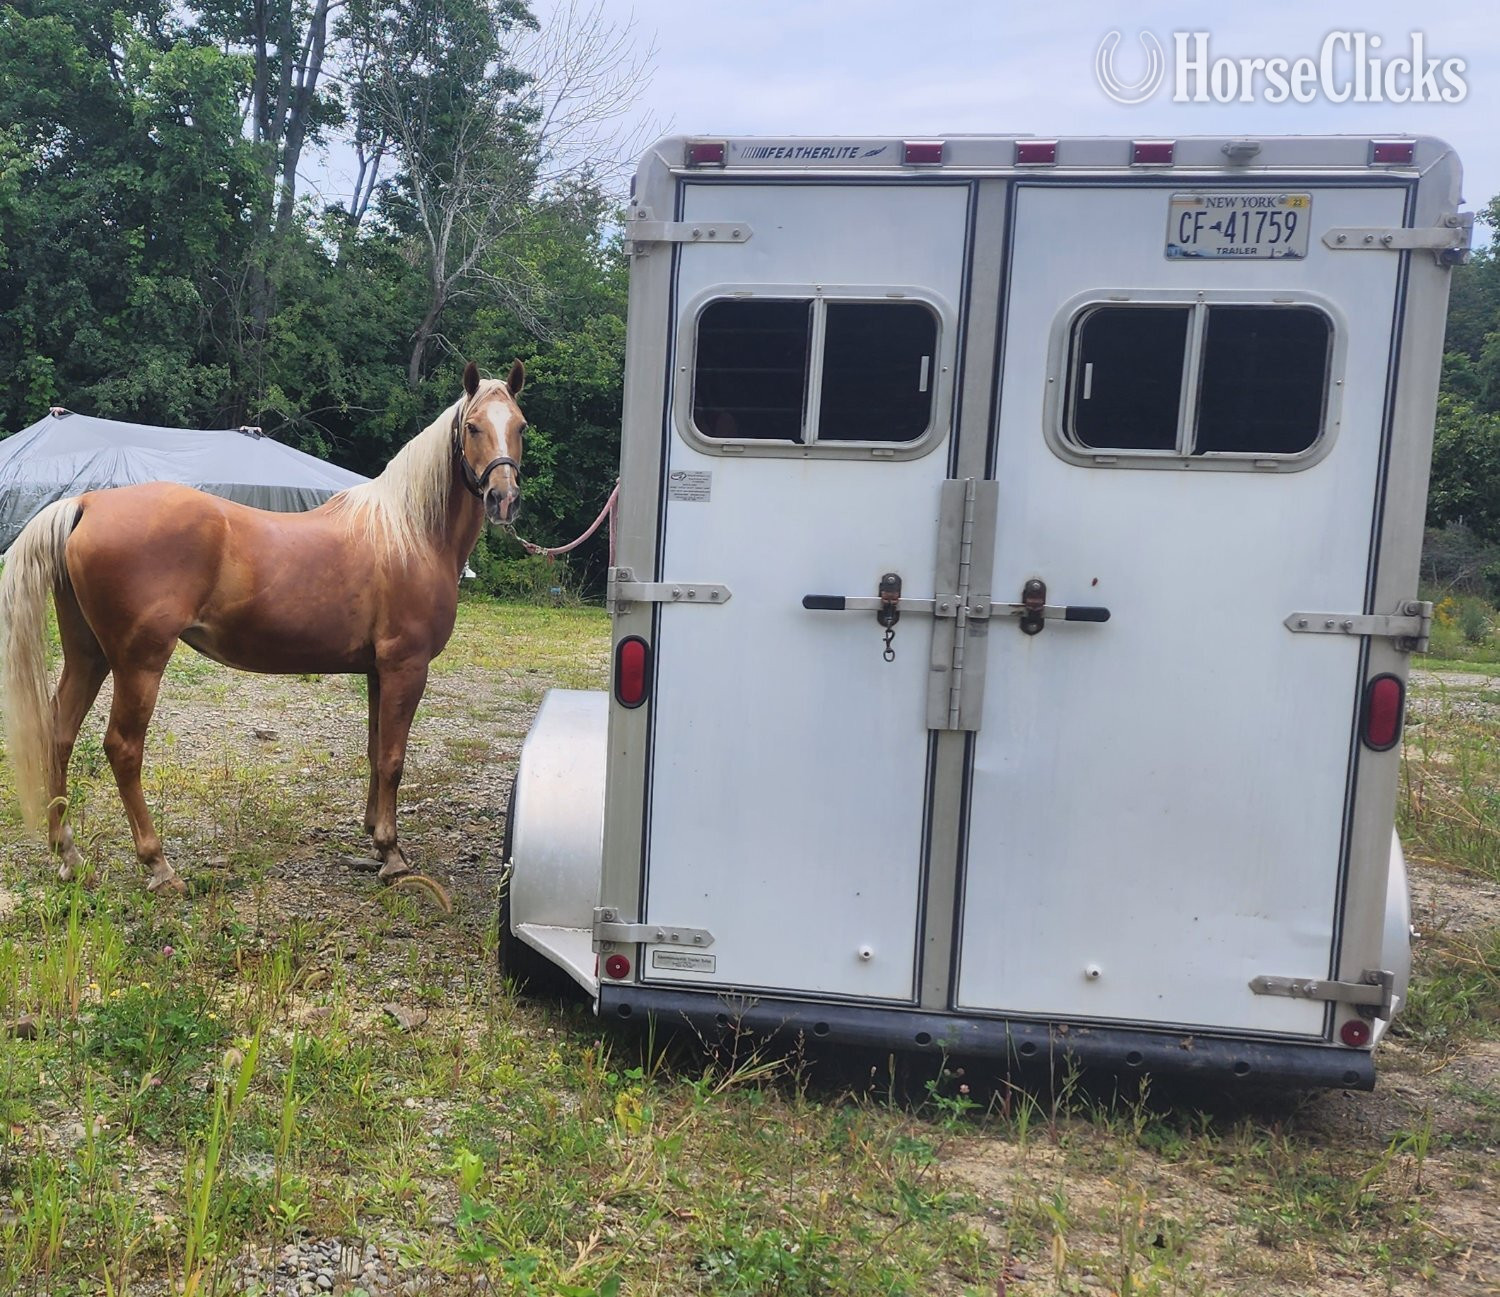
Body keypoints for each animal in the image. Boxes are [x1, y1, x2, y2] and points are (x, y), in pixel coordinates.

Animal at [0, 360, 525, 897]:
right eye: (472, 426)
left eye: (521, 426)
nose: (503, 498)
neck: (409, 533)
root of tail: (86, 503)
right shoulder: (406, 667)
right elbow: (394, 760)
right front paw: (392, 854)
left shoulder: (379, 672)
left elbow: (376, 751)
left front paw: (374, 835)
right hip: (139, 662)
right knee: (122, 748)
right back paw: (158, 865)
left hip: (89, 654)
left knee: (59, 732)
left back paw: (67, 855)